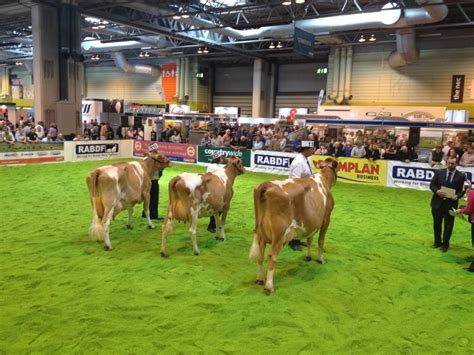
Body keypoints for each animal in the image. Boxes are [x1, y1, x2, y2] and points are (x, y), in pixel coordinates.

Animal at [250, 159, 338, 294]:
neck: (324, 179)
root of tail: (266, 184)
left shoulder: (311, 222)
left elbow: (310, 238)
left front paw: (308, 256)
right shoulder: (326, 219)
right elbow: (320, 240)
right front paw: (321, 259)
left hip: (260, 232)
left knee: (260, 255)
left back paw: (260, 279)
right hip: (279, 234)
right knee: (272, 256)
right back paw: (269, 286)